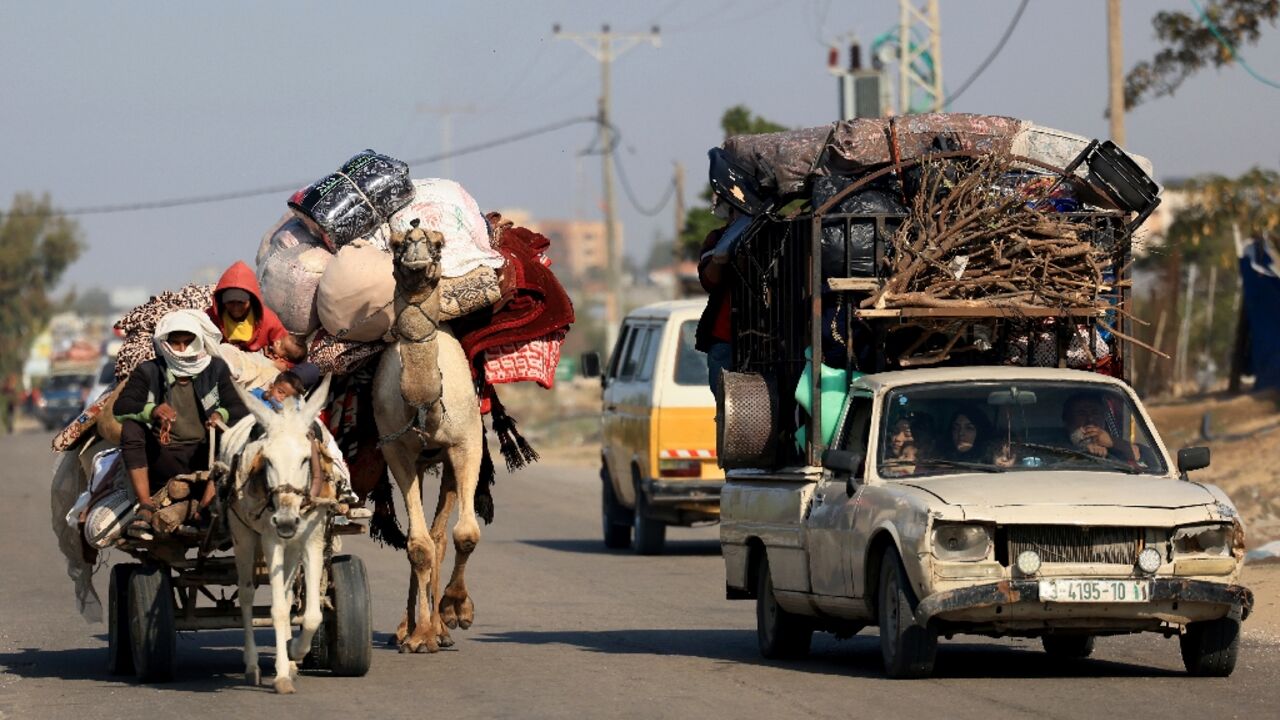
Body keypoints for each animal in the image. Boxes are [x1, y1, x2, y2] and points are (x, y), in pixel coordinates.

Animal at [225, 371, 337, 691]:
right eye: (268, 460)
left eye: (305, 459)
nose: (285, 521)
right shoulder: (270, 539)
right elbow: (274, 610)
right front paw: (282, 675)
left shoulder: (311, 538)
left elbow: (311, 614)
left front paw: (294, 652)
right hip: (243, 535)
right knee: (247, 594)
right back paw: (252, 665)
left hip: (293, 547)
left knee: (287, 597)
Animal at [376, 219, 486, 650]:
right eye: (395, 244)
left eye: (439, 243)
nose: (417, 248)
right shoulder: (397, 451)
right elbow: (417, 545)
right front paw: (419, 635)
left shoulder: (467, 442)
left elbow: (465, 534)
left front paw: (457, 610)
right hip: (419, 462)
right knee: (423, 537)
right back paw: (411, 627)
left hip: (447, 460)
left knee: (442, 534)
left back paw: (442, 624)